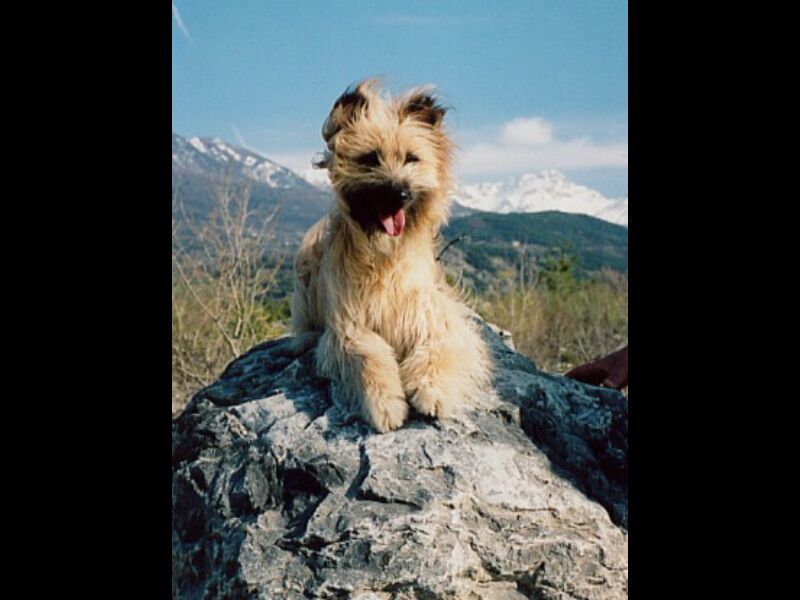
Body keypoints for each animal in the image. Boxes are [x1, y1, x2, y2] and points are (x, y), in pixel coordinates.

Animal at [291, 79, 490, 433]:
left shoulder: (433, 315)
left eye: (412, 158)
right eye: (370, 158)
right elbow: (367, 356)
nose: (399, 193)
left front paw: (431, 390)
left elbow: (437, 346)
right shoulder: (348, 327)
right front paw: (385, 403)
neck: (384, 254)